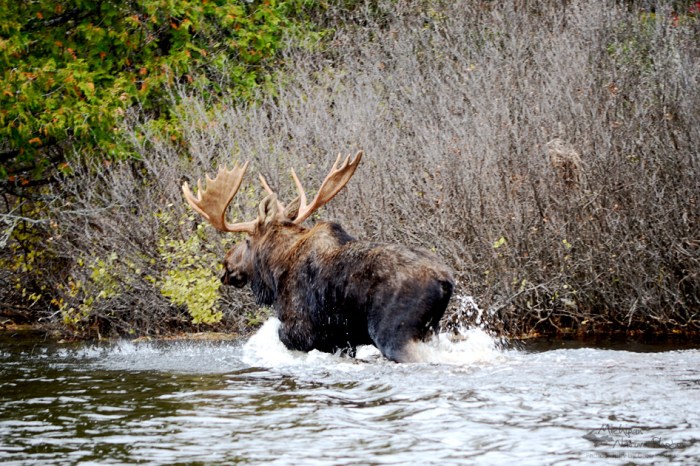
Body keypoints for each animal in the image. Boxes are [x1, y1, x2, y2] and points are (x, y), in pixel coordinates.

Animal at [182, 151, 454, 362]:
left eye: (247, 241)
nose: (226, 265)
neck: (274, 272)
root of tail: (446, 282)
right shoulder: (343, 341)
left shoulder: (302, 330)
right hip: (430, 332)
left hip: (394, 334)